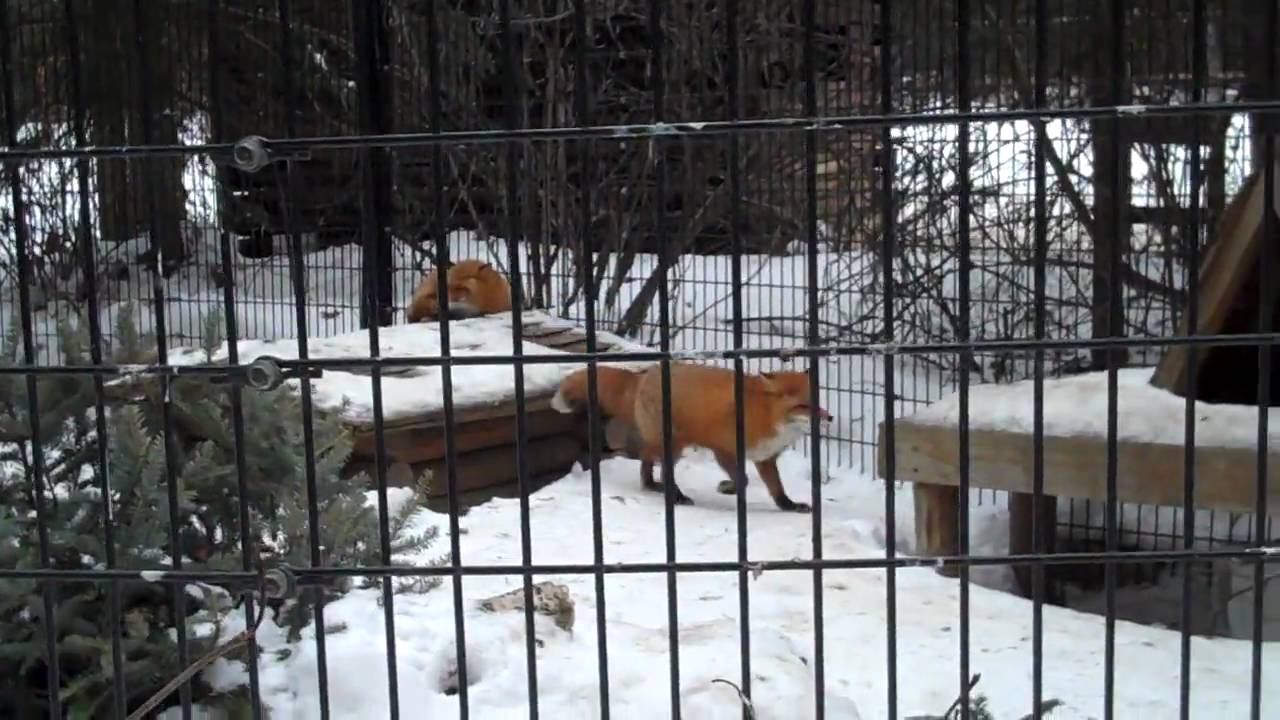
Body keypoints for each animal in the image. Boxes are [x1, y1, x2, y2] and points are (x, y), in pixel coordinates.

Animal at [553, 362, 831, 512]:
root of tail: (642, 377)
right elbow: (742, 480)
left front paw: (789, 505)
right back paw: (675, 496)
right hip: (672, 445)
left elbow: (777, 489)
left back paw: (653, 486)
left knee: (646, 464)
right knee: (664, 471)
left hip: (663, 444)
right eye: (803, 406)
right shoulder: (723, 450)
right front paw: (729, 488)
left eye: (818, 401)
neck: (764, 414)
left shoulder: (765, 457)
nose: (829, 418)